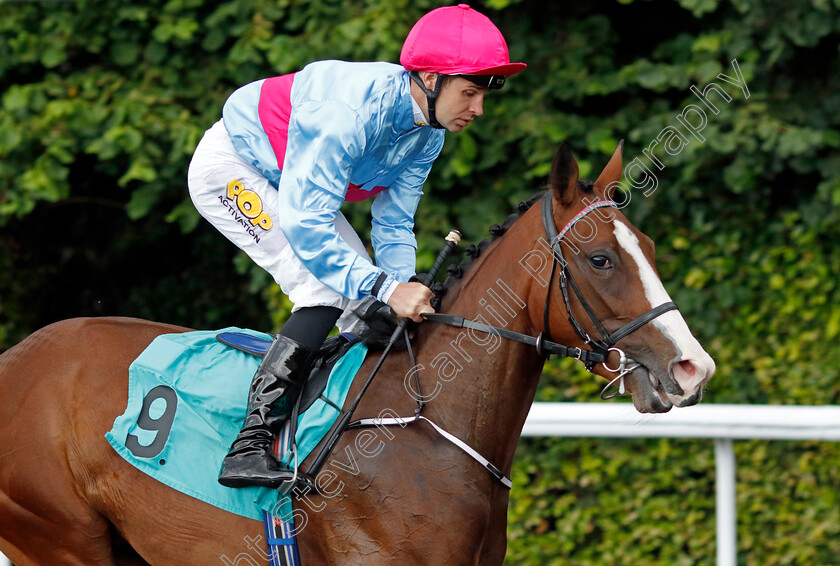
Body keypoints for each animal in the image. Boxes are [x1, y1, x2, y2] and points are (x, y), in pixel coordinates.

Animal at [0, 142, 716, 564]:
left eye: (650, 248)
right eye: (600, 260)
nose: (693, 368)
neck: (424, 427)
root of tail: (17, 357)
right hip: (60, 537)